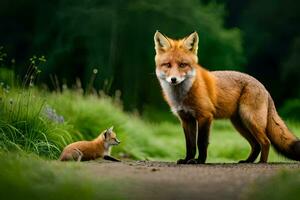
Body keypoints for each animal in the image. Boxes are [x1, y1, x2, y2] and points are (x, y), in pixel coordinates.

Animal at [155, 30, 300, 164]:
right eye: (167, 65)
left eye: (182, 65)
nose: (173, 79)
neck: (183, 95)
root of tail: (263, 86)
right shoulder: (186, 119)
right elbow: (190, 145)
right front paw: (187, 160)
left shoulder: (205, 116)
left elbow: (201, 143)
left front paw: (200, 161)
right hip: (239, 123)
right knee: (256, 144)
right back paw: (248, 161)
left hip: (249, 119)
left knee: (266, 142)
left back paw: (261, 162)